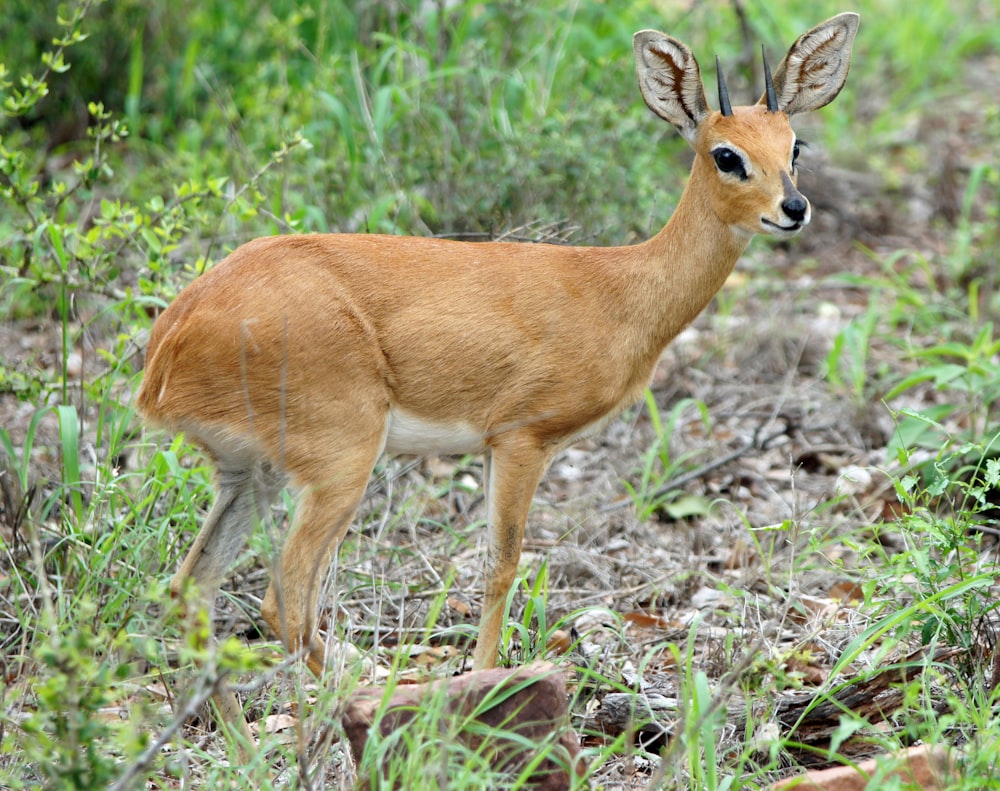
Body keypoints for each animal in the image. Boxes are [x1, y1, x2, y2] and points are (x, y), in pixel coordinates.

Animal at [139, 10, 860, 736]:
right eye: (726, 154)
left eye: (794, 146)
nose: (794, 208)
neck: (620, 290)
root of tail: (170, 338)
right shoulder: (521, 438)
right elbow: (502, 566)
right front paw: (485, 689)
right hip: (341, 463)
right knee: (283, 596)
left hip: (249, 471)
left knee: (192, 585)